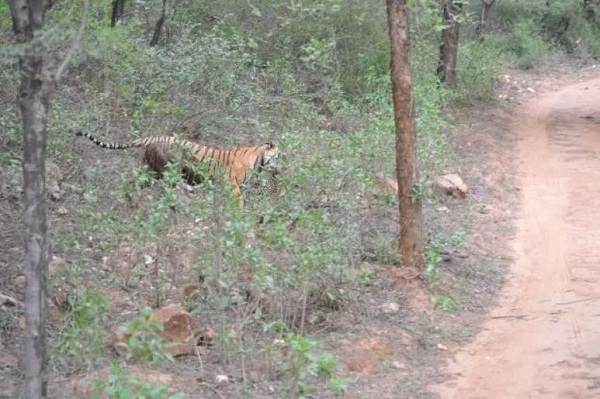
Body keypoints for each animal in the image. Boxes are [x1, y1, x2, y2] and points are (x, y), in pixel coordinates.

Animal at [75, 131, 278, 206]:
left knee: (133, 183)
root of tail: (153, 137)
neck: (259, 160)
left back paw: (128, 200)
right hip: (169, 168)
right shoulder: (232, 184)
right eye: (279, 155)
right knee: (175, 185)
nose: (280, 168)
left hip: (149, 171)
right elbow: (239, 201)